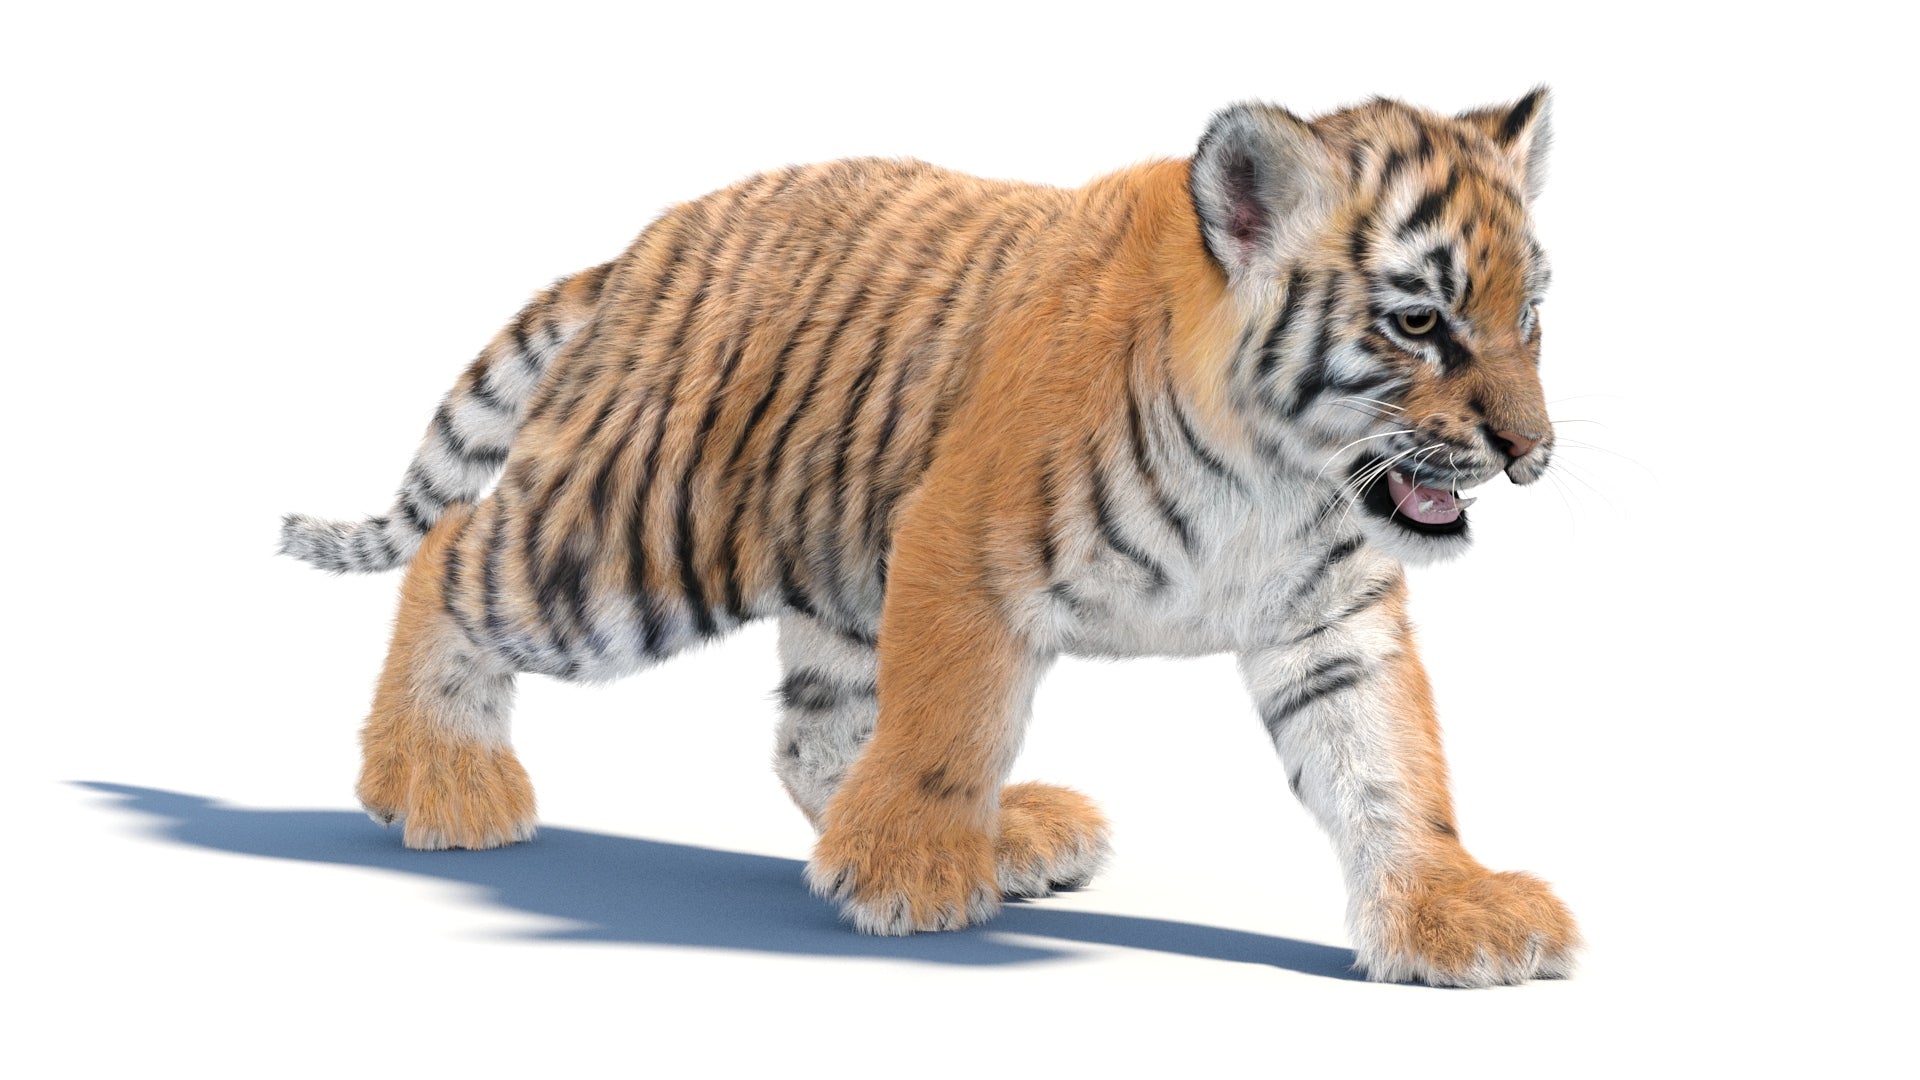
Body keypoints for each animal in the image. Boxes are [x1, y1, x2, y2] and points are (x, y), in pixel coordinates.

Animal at [281, 88, 1580, 987]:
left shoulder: (1330, 620)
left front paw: (1451, 914)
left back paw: (1000, 834)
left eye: (1528, 319)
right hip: (622, 550)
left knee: (813, 735)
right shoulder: (961, 551)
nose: (1531, 449)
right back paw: (434, 783)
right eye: (1419, 323)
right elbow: (952, 724)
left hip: (830, 566)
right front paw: (912, 873)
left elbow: (1387, 766)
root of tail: (644, 249)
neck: (1276, 477)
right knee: (450, 553)